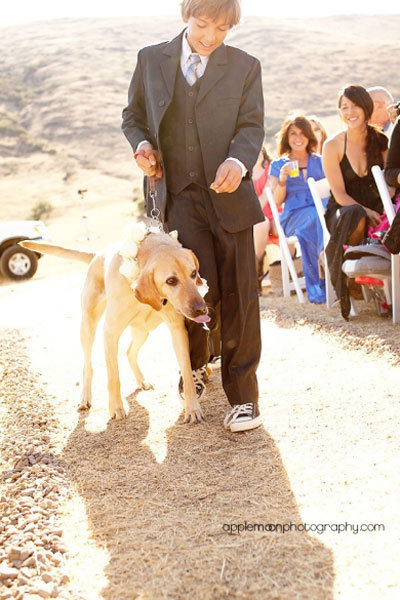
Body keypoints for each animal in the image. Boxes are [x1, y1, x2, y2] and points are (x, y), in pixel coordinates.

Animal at [20, 232, 211, 424]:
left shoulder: (177, 330)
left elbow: (187, 373)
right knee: (87, 365)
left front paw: (192, 407)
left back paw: (141, 380)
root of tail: (97, 254)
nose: (201, 309)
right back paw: (85, 398)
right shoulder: (110, 332)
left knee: (130, 352)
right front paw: (116, 407)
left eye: (193, 273)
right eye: (171, 281)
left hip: (143, 330)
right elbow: (113, 377)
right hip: (88, 327)